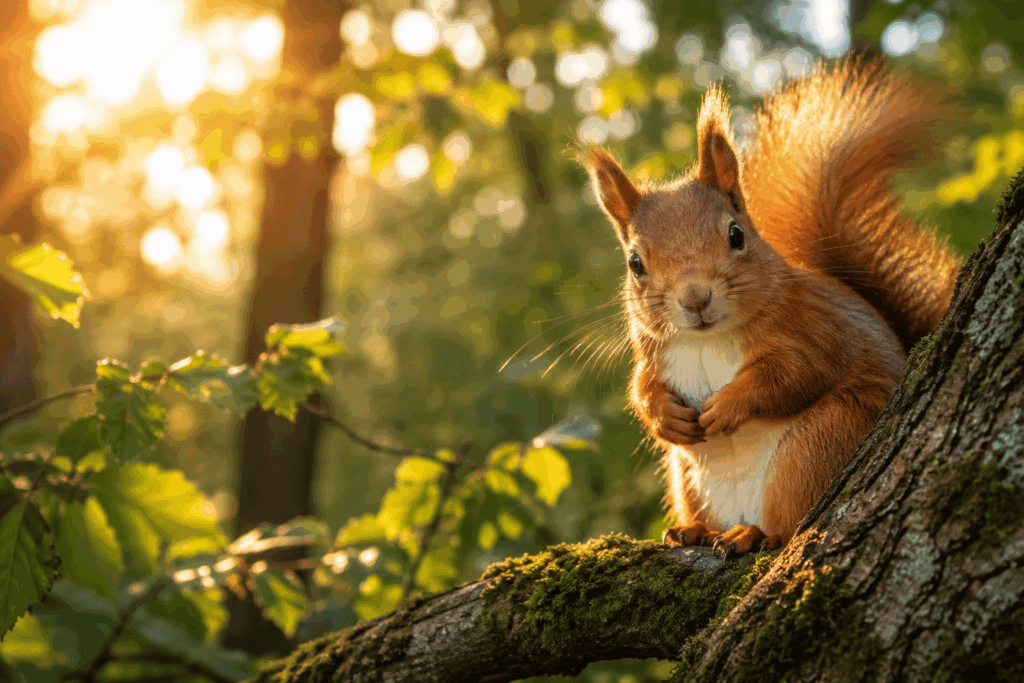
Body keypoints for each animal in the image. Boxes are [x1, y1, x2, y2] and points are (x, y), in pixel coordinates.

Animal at [586, 59, 961, 557]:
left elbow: (793, 375)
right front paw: (665, 415)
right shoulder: (652, 355)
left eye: (736, 234)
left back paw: (753, 534)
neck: (706, 340)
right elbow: (641, 389)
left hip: (818, 444)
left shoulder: (816, 328)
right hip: (688, 478)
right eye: (635, 263)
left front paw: (728, 405)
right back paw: (694, 531)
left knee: (788, 524)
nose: (695, 298)